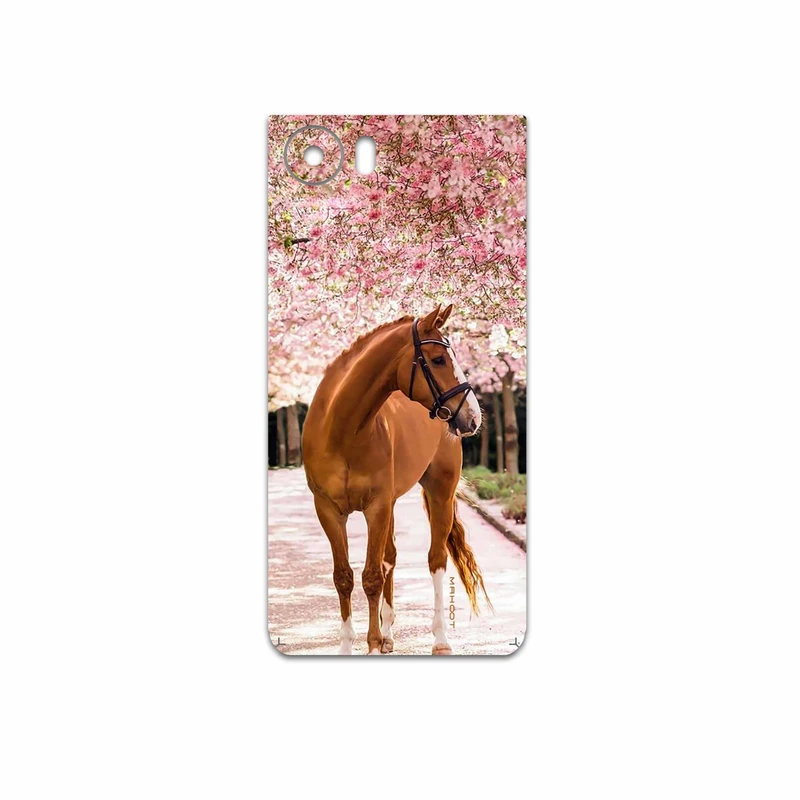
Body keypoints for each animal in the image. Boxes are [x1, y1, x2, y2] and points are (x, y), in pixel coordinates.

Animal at [302, 303, 492, 655]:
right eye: (438, 359)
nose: (473, 416)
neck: (342, 431)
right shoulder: (329, 510)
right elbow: (344, 576)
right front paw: (354, 644)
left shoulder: (376, 506)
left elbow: (372, 576)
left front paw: (373, 644)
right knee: (390, 557)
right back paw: (389, 633)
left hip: (439, 492)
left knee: (436, 560)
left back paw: (440, 639)